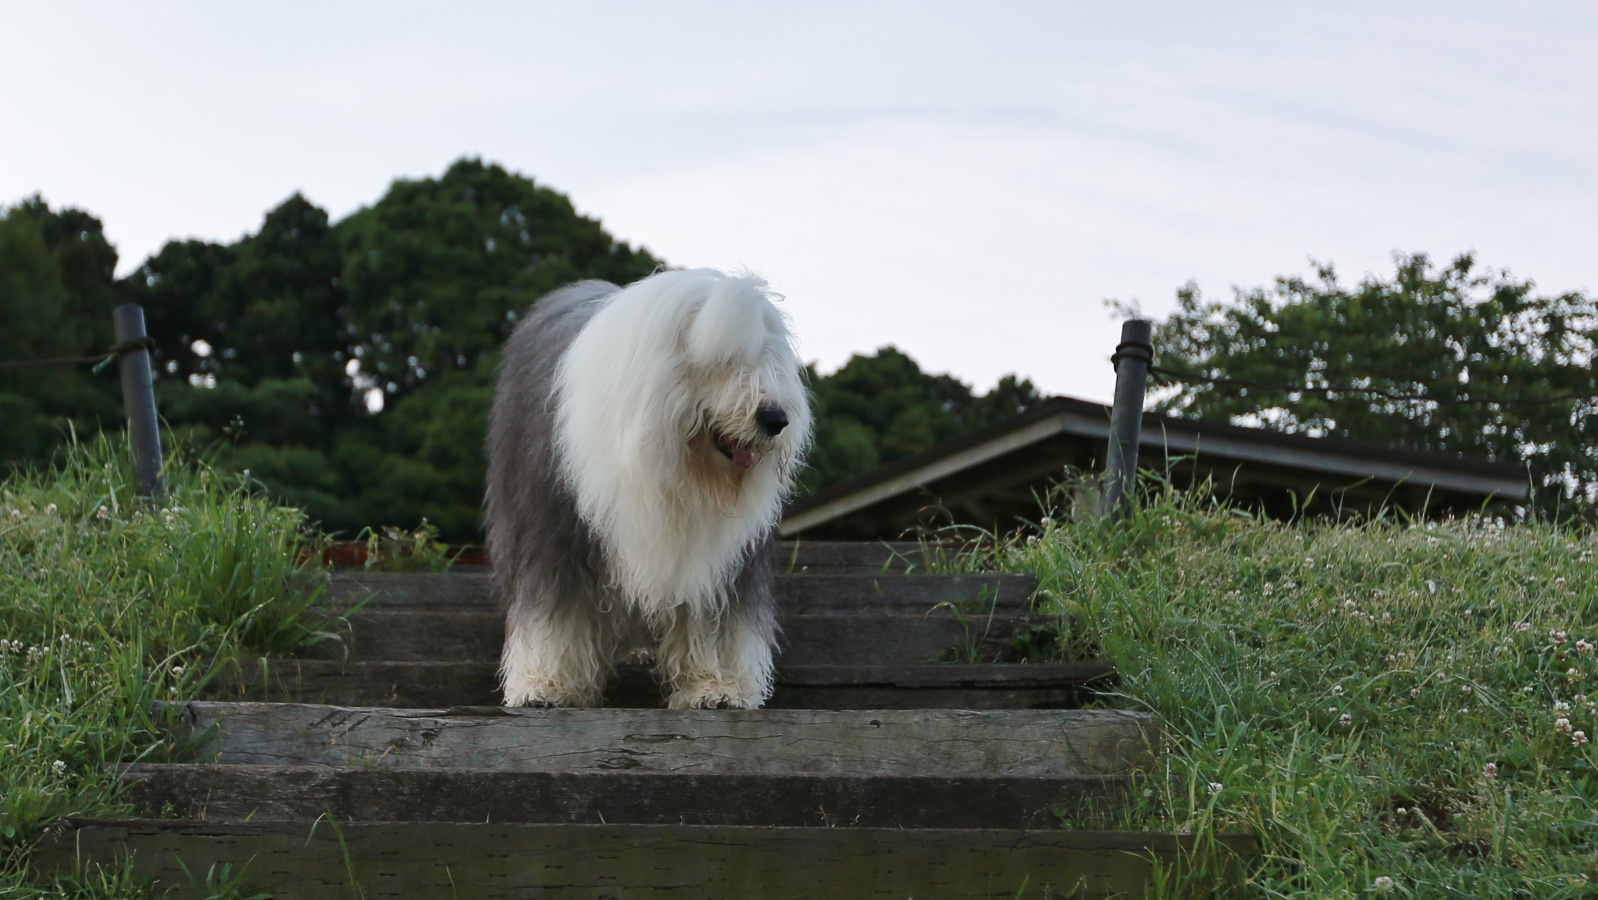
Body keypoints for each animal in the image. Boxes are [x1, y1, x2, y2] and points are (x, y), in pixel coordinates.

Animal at [485, 269, 811, 709]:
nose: (776, 419)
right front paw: (547, 686)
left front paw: (717, 687)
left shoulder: (718, 559)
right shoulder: (557, 528)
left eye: (769, 362)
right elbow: (557, 610)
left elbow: (715, 621)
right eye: (724, 362)